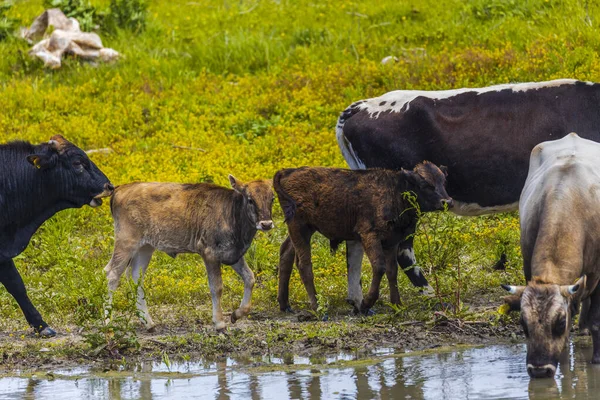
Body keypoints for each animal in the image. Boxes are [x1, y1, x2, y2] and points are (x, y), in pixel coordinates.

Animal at [274, 161, 452, 314]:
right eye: (424, 184)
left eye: (443, 181)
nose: (447, 201)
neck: (396, 190)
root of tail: (286, 172)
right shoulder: (369, 236)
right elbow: (379, 267)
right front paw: (366, 303)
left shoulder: (391, 242)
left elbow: (392, 271)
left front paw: (398, 305)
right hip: (300, 228)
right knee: (304, 264)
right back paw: (317, 307)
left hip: (303, 230)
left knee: (286, 253)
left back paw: (285, 304)